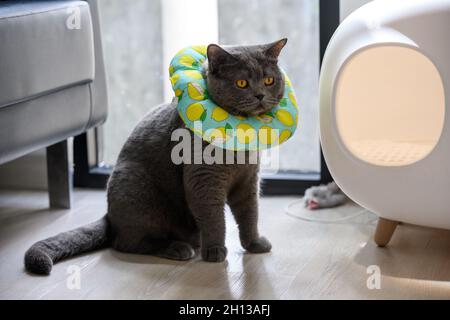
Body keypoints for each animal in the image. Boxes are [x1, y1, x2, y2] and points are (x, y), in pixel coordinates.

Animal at [23, 39, 288, 276]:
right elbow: (213, 217)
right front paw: (214, 251)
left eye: (269, 80)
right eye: (241, 83)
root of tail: (109, 216)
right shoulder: (204, 178)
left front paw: (255, 244)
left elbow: (250, 213)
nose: (260, 95)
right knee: (127, 242)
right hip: (139, 192)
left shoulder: (248, 179)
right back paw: (179, 248)